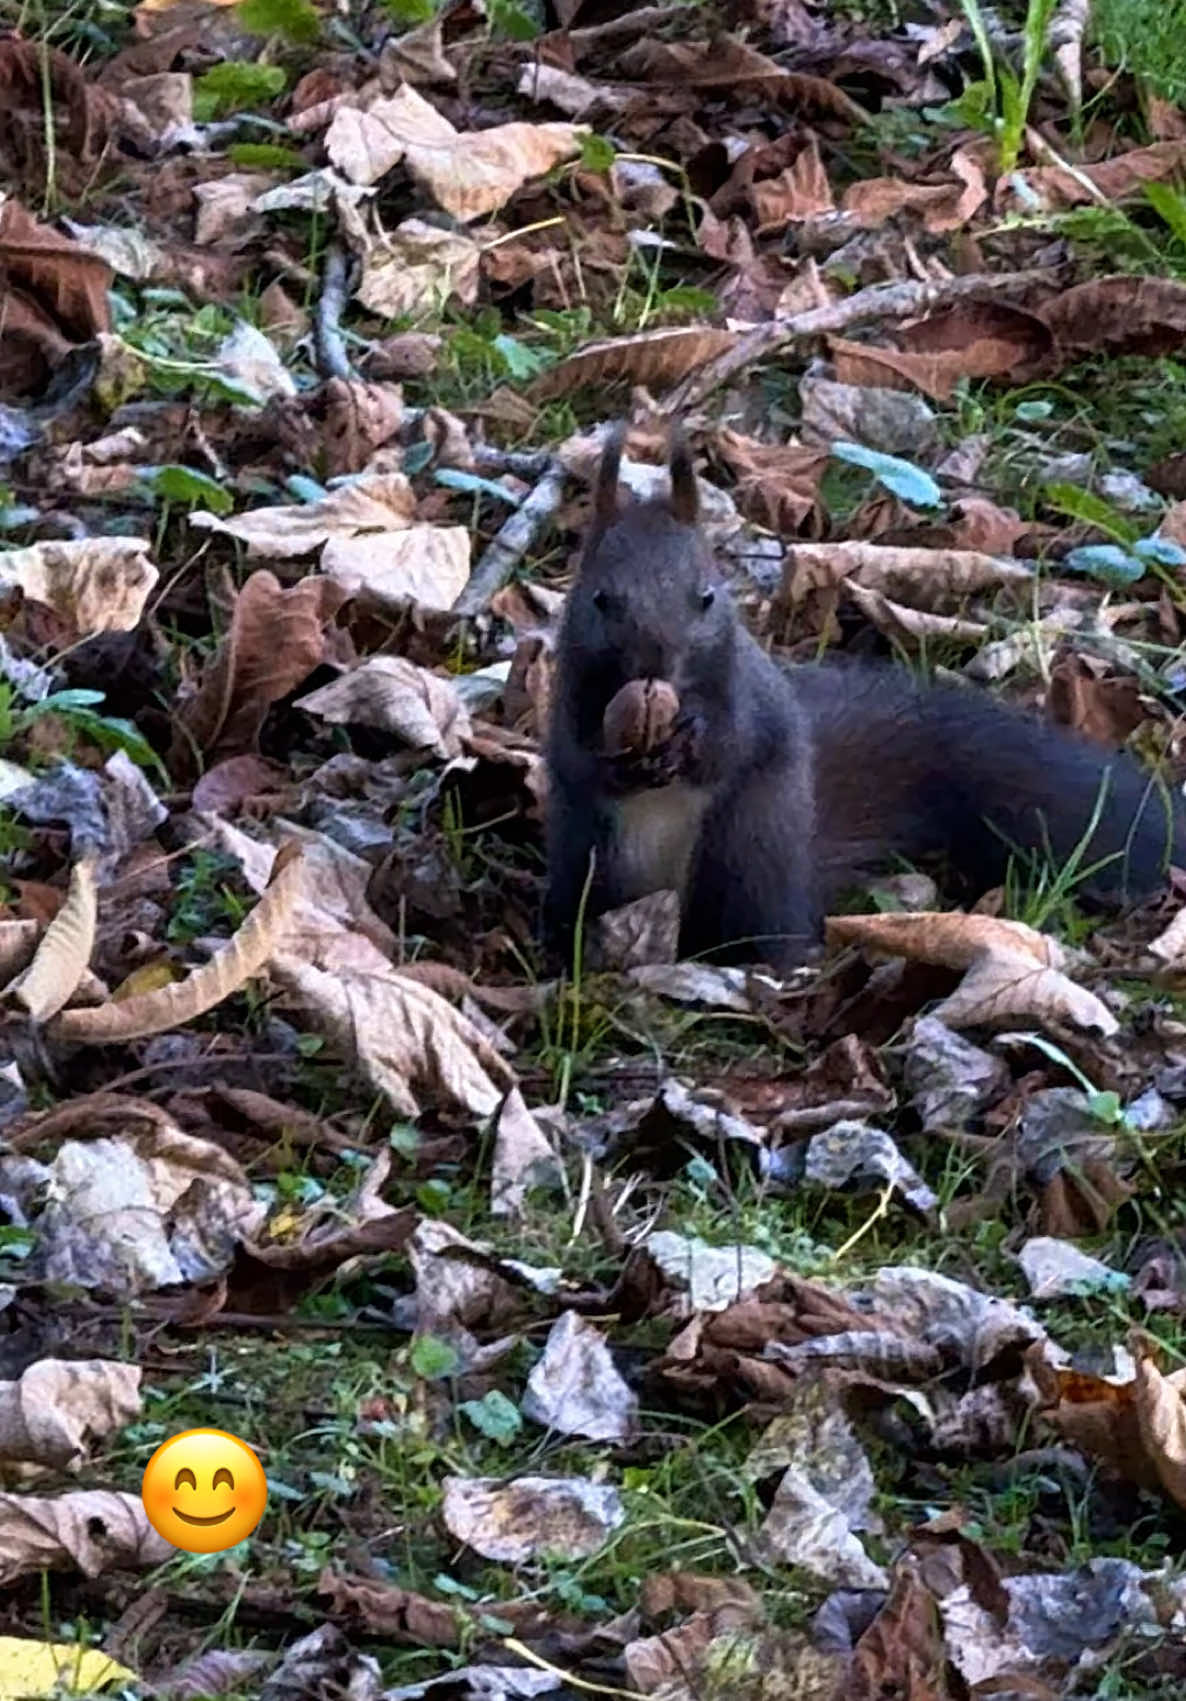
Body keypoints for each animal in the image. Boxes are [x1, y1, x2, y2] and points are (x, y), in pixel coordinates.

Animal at [544, 418, 1184, 972]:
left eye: (706, 597)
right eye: (600, 599)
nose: (654, 664)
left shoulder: (746, 692)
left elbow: (732, 742)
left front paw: (691, 738)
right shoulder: (568, 696)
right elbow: (578, 756)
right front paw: (619, 760)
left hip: (747, 852)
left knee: (763, 928)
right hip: (589, 860)